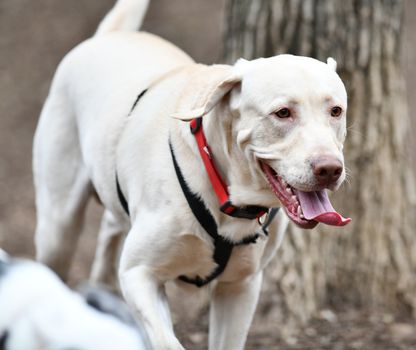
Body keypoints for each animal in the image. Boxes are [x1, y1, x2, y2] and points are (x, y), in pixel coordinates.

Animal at [33, 1, 352, 348]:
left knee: (109, 228)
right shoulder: (139, 274)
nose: (329, 169)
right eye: (283, 113)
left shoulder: (240, 288)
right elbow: (166, 340)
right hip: (57, 227)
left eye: (336, 111)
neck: (226, 193)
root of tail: (110, 35)